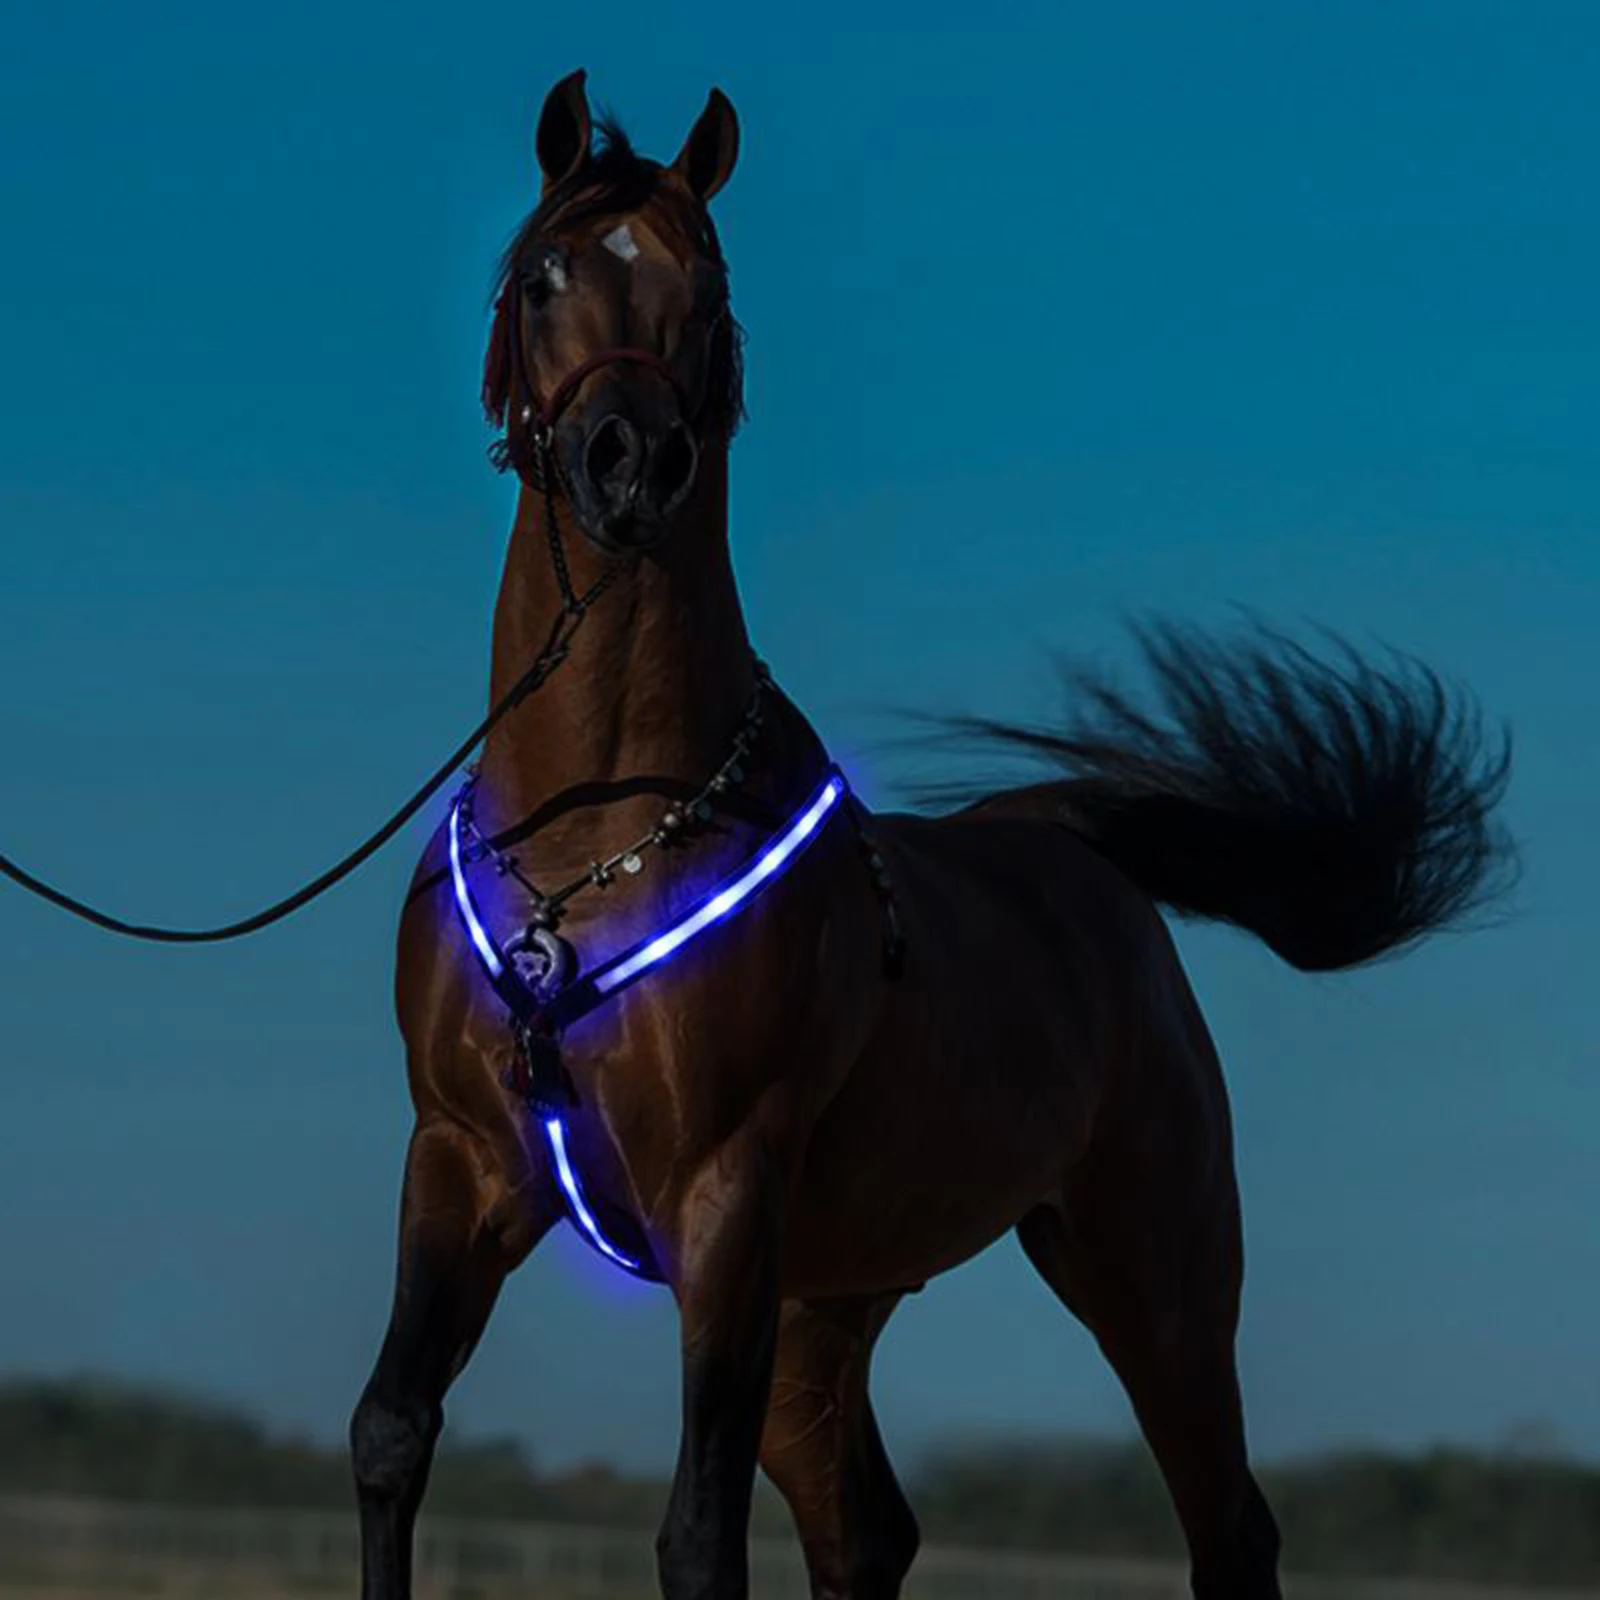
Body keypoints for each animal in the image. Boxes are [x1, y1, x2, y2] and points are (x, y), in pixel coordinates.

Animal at [349, 71, 1514, 1600]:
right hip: (830, 1299)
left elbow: (695, 1531)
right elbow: (392, 1434)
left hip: (1147, 1268)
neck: (590, 842)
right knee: (867, 1532)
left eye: (705, 289)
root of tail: (1070, 852)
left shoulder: (723, 1197)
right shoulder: (464, 1162)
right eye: (544, 275)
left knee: (1227, 1524)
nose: (630, 462)